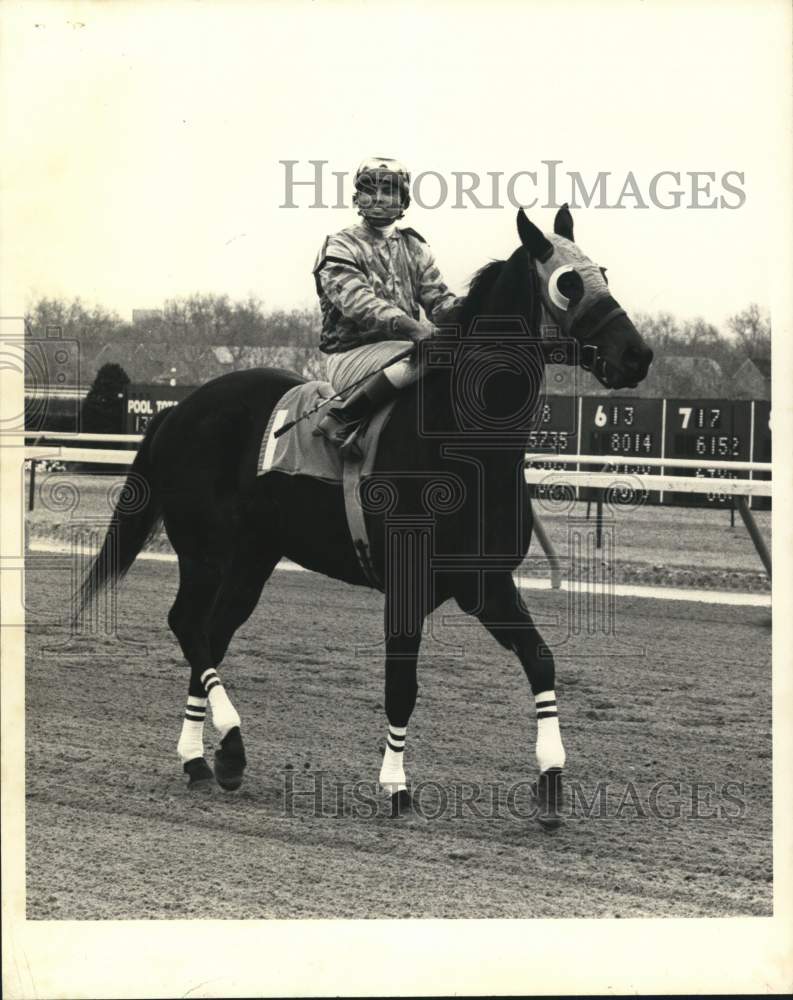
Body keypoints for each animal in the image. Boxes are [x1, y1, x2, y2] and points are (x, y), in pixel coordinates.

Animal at [80, 205, 652, 828]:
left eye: (601, 271)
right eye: (566, 283)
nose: (637, 354)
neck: (463, 444)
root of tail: (180, 409)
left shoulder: (486, 584)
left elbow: (542, 662)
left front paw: (550, 782)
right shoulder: (406, 585)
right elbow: (402, 685)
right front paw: (395, 785)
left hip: (251, 559)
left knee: (212, 631)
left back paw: (203, 761)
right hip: (205, 550)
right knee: (187, 624)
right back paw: (228, 745)